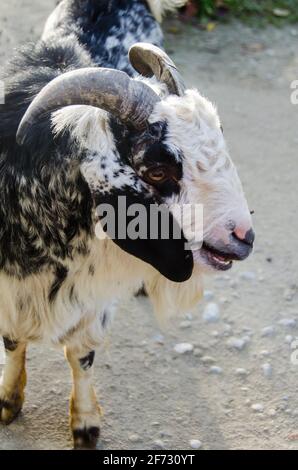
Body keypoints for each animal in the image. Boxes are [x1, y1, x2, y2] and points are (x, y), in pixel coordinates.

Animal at [0, 0, 254, 448]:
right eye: (157, 170)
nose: (243, 236)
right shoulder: (9, 289)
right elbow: (12, 340)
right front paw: (8, 401)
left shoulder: (92, 293)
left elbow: (80, 353)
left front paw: (85, 424)